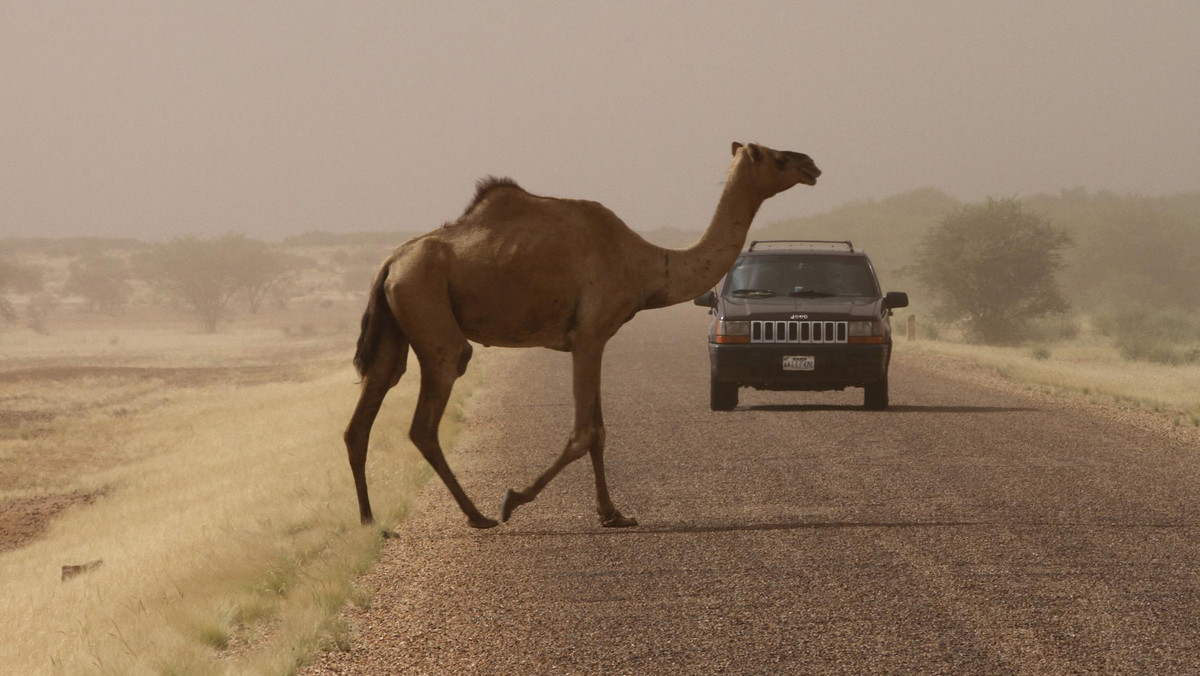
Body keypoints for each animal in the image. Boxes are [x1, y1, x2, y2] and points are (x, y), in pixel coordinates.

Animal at [343, 142, 820, 530]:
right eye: (776, 157)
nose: (811, 164)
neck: (646, 264)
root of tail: (390, 263)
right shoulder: (589, 335)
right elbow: (584, 431)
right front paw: (512, 499)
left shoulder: (595, 338)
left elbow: (599, 431)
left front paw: (613, 514)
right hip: (429, 311)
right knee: (426, 416)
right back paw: (478, 515)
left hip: (397, 324)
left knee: (365, 411)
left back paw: (370, 522)